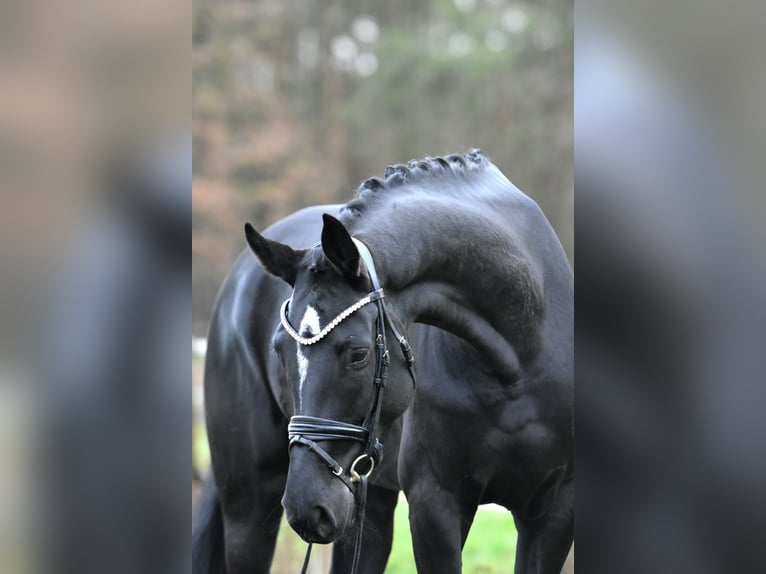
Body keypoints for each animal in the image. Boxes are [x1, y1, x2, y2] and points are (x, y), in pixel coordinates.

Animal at [195, 151, 572, 572]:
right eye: (279, 351)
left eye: (358, 354)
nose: (306, 506)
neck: (516, 363)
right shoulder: (435, 504)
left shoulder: (553, 511)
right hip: (250, 506)